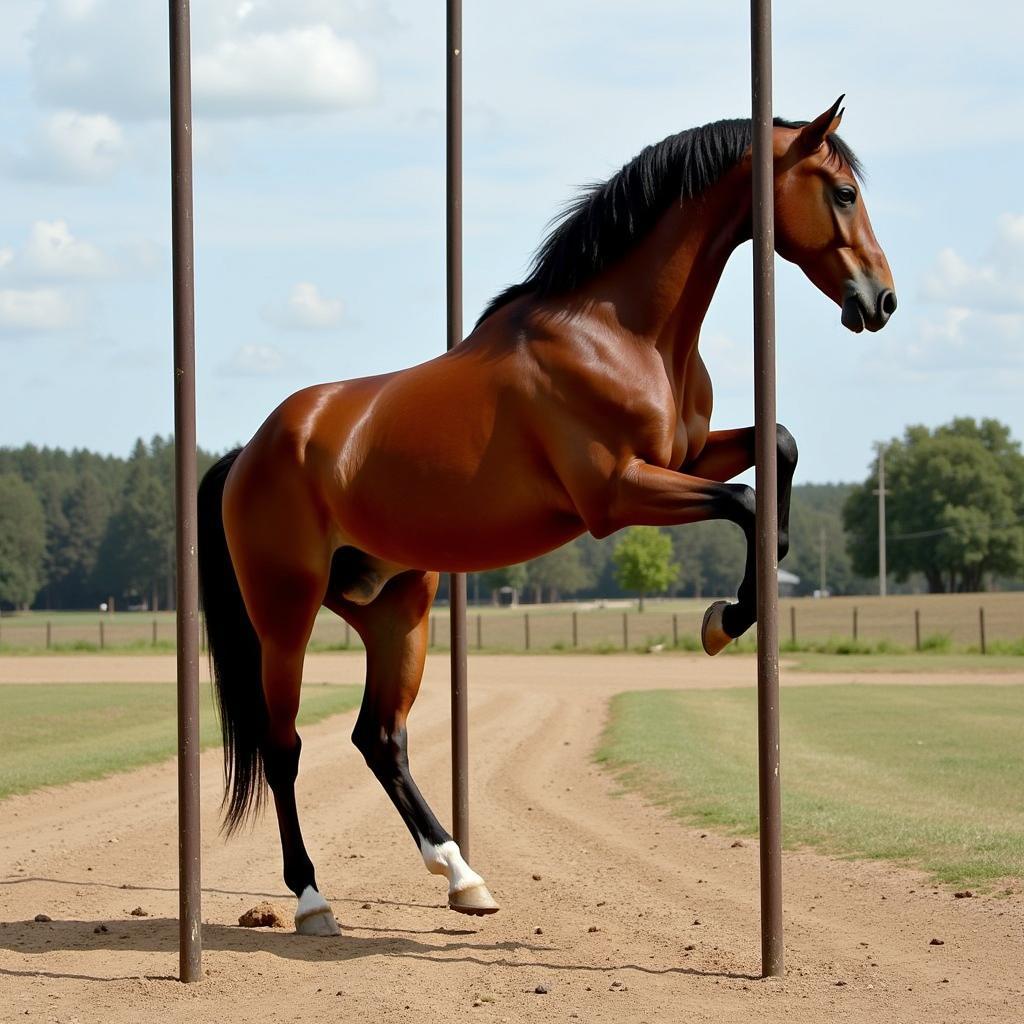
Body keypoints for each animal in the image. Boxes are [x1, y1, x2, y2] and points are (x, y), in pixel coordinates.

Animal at [195, 99, 892, 937]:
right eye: (844, 192)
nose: (882, 300)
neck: (618, 331)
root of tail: (251, 450)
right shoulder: (616, 494)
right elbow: (749, 502)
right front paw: (724, 619)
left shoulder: (688, 457)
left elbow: (778, 449)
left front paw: (733, 612)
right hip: (285, 619)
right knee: (285, 747)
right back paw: (311, 897)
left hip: (397, 607)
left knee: (380, 738)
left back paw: (462, 875)